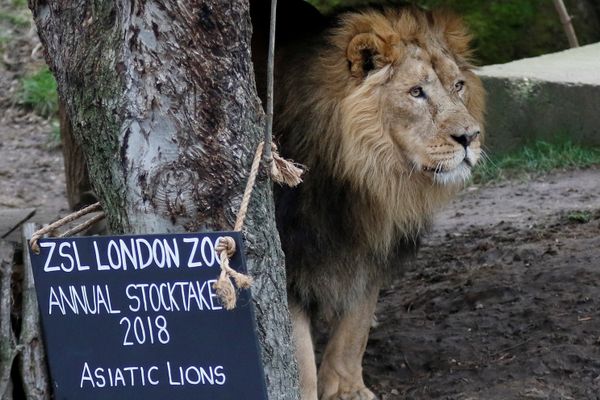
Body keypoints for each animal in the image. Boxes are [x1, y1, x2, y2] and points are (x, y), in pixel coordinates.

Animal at [264, 3, 486, 400]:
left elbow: (355, 326)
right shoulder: (292, 250)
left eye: (458, 85)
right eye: (416, 92)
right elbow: (297, 352)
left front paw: (347, 390)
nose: (470, 137)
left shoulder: (372, 246)